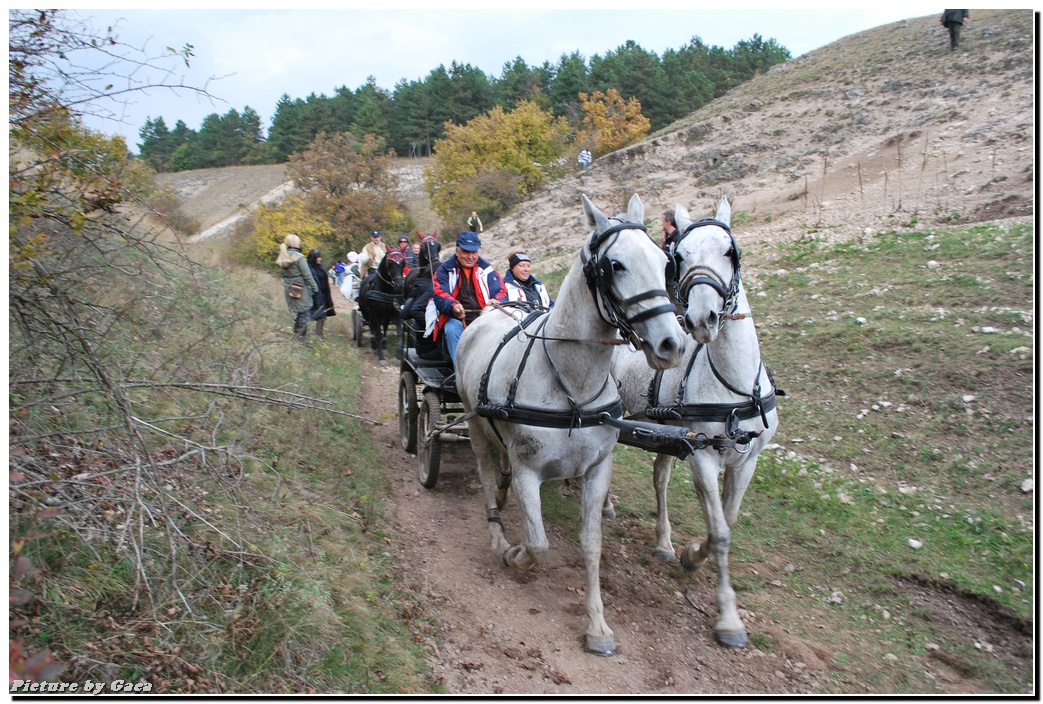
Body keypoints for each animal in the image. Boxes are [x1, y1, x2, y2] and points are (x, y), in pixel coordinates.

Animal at [454, 191, 684, 654]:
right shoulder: (528, 470)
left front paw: (598, 626)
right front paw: (516, 555)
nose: (672, 343)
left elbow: (591, 545)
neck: (570, 385)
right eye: (615, 265)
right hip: (476, 427)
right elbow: (538, 543)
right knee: (487, 474)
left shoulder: (597, 470)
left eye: (663, 260)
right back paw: (498, 535)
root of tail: (488, 315)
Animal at [613, 197, 780, 650]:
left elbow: (728, 522)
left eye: (730, 252)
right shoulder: (702, 455)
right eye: (681, 256)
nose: (703, 318)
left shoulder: (746, 460)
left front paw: (690, 554)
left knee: (659, 477)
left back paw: (664, 543)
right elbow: (720, 532)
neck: (732, 383)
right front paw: (728, 619)